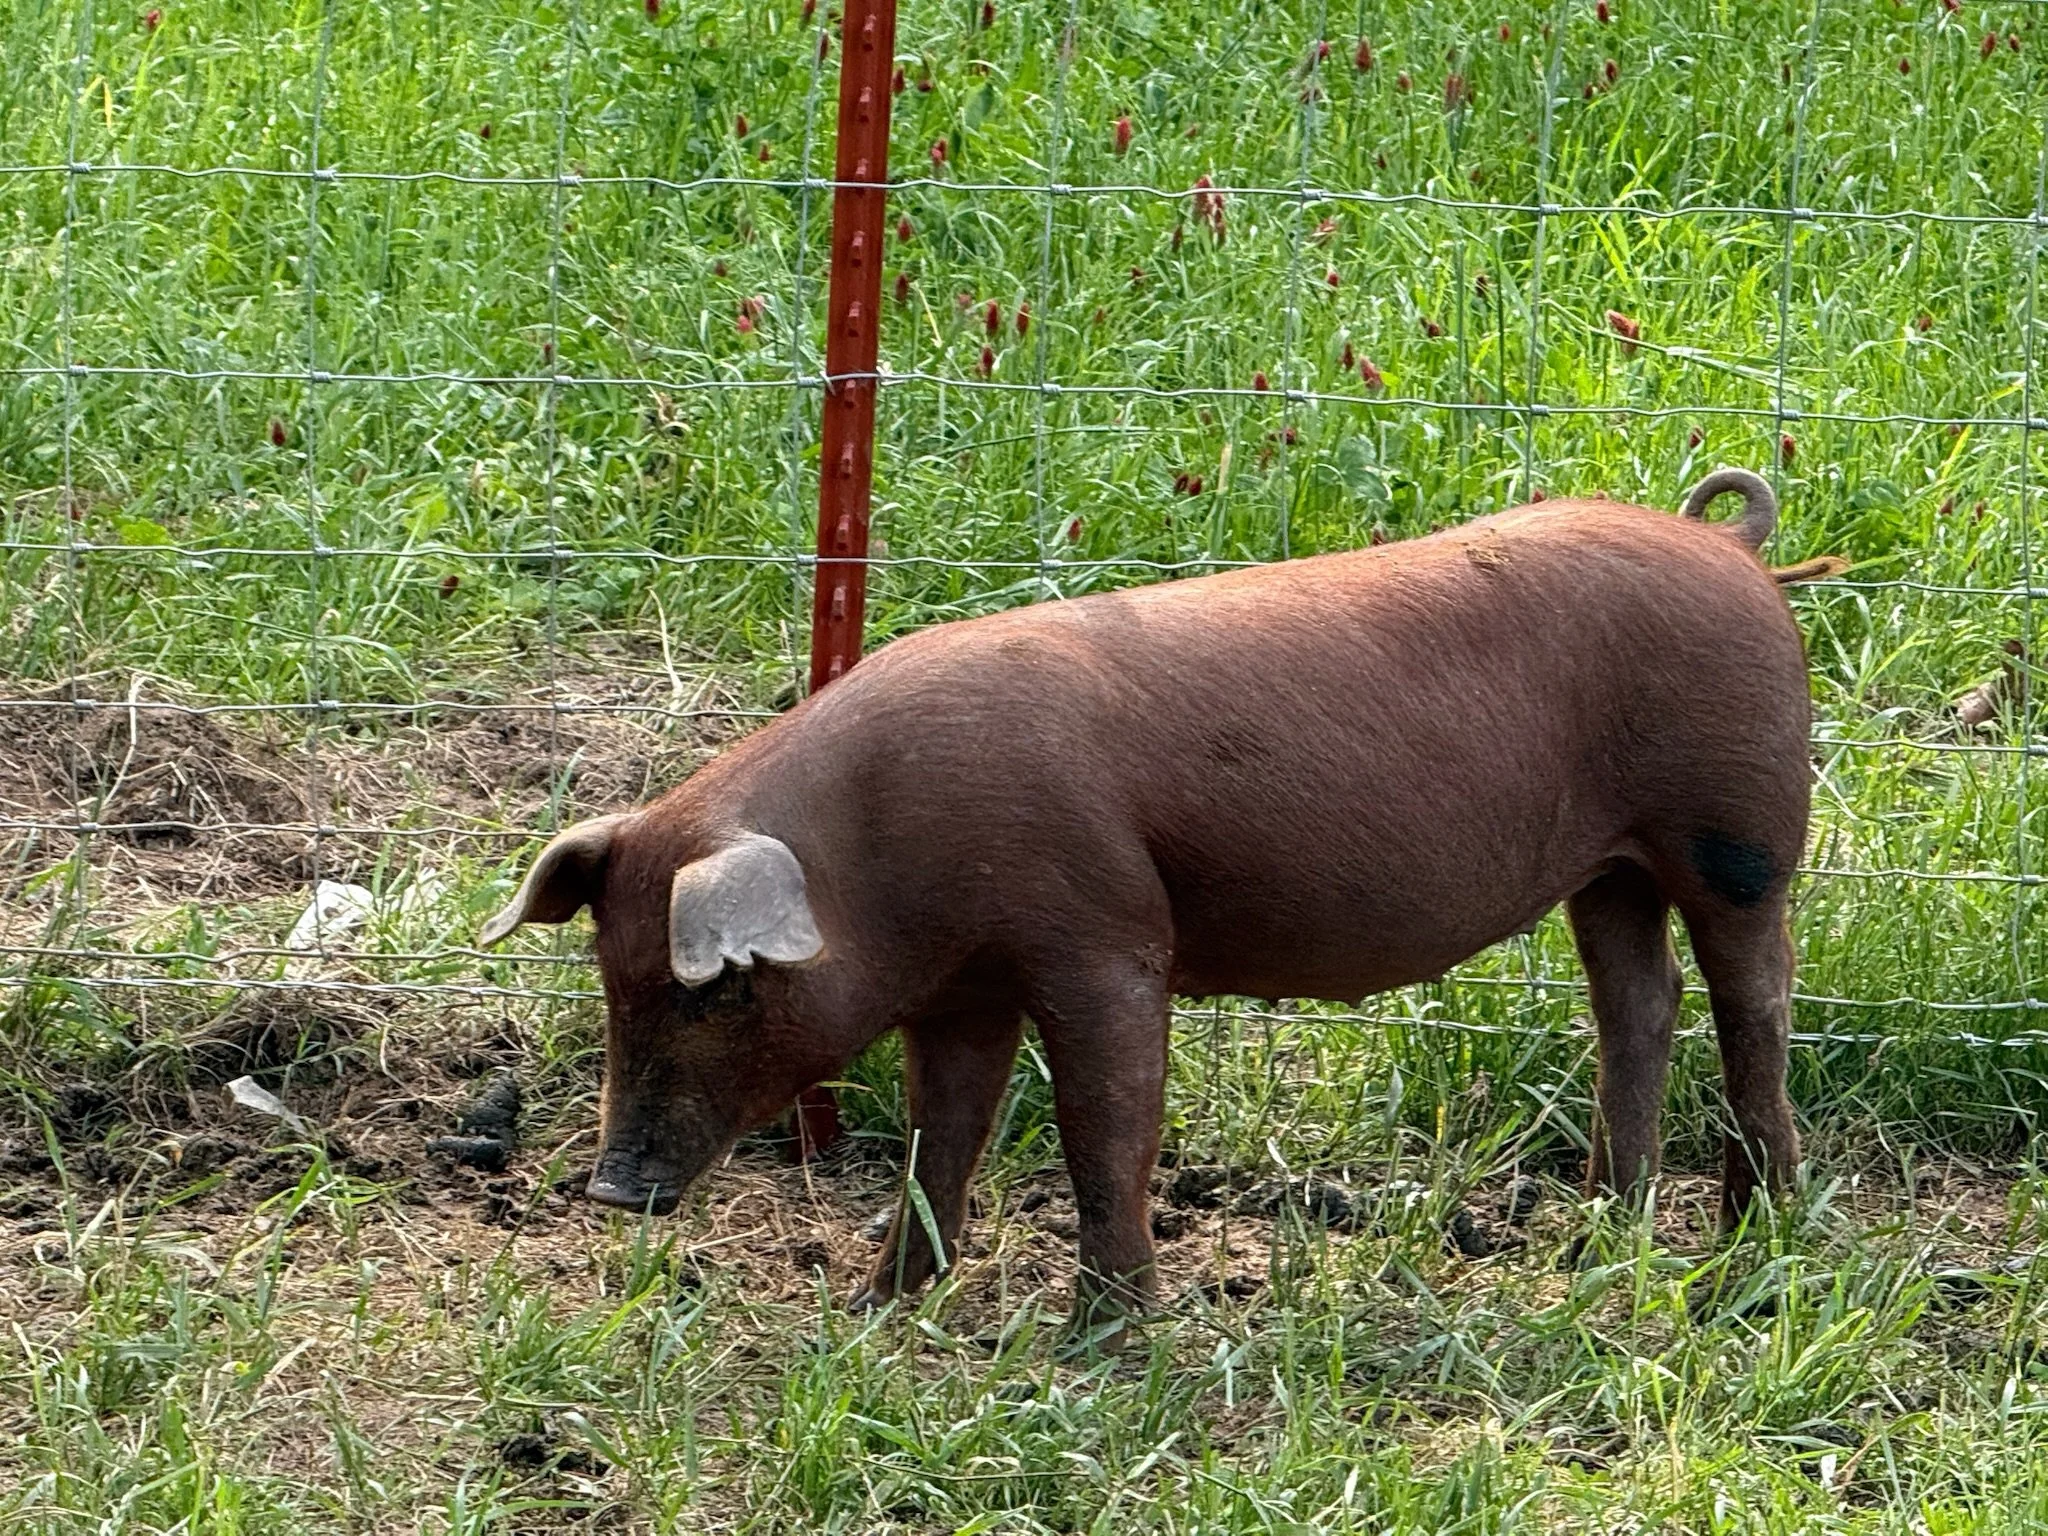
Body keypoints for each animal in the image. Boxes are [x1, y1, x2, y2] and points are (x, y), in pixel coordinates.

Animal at [480, 467, 1831, 1327]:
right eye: (611, 982)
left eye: (715, 992)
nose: (611, 1190)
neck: (879, 856)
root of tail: (1730, 548)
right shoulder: (959, 993)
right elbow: (941, 1135)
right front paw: (873, 1309)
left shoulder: (1102, 937)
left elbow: (1105, 1126)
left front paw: (1108, 1334)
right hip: (1605, 870)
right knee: (1637, 1001)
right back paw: (1601, 1232)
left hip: (1737, 831)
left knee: (1753, 996)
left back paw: (1750, 1241)